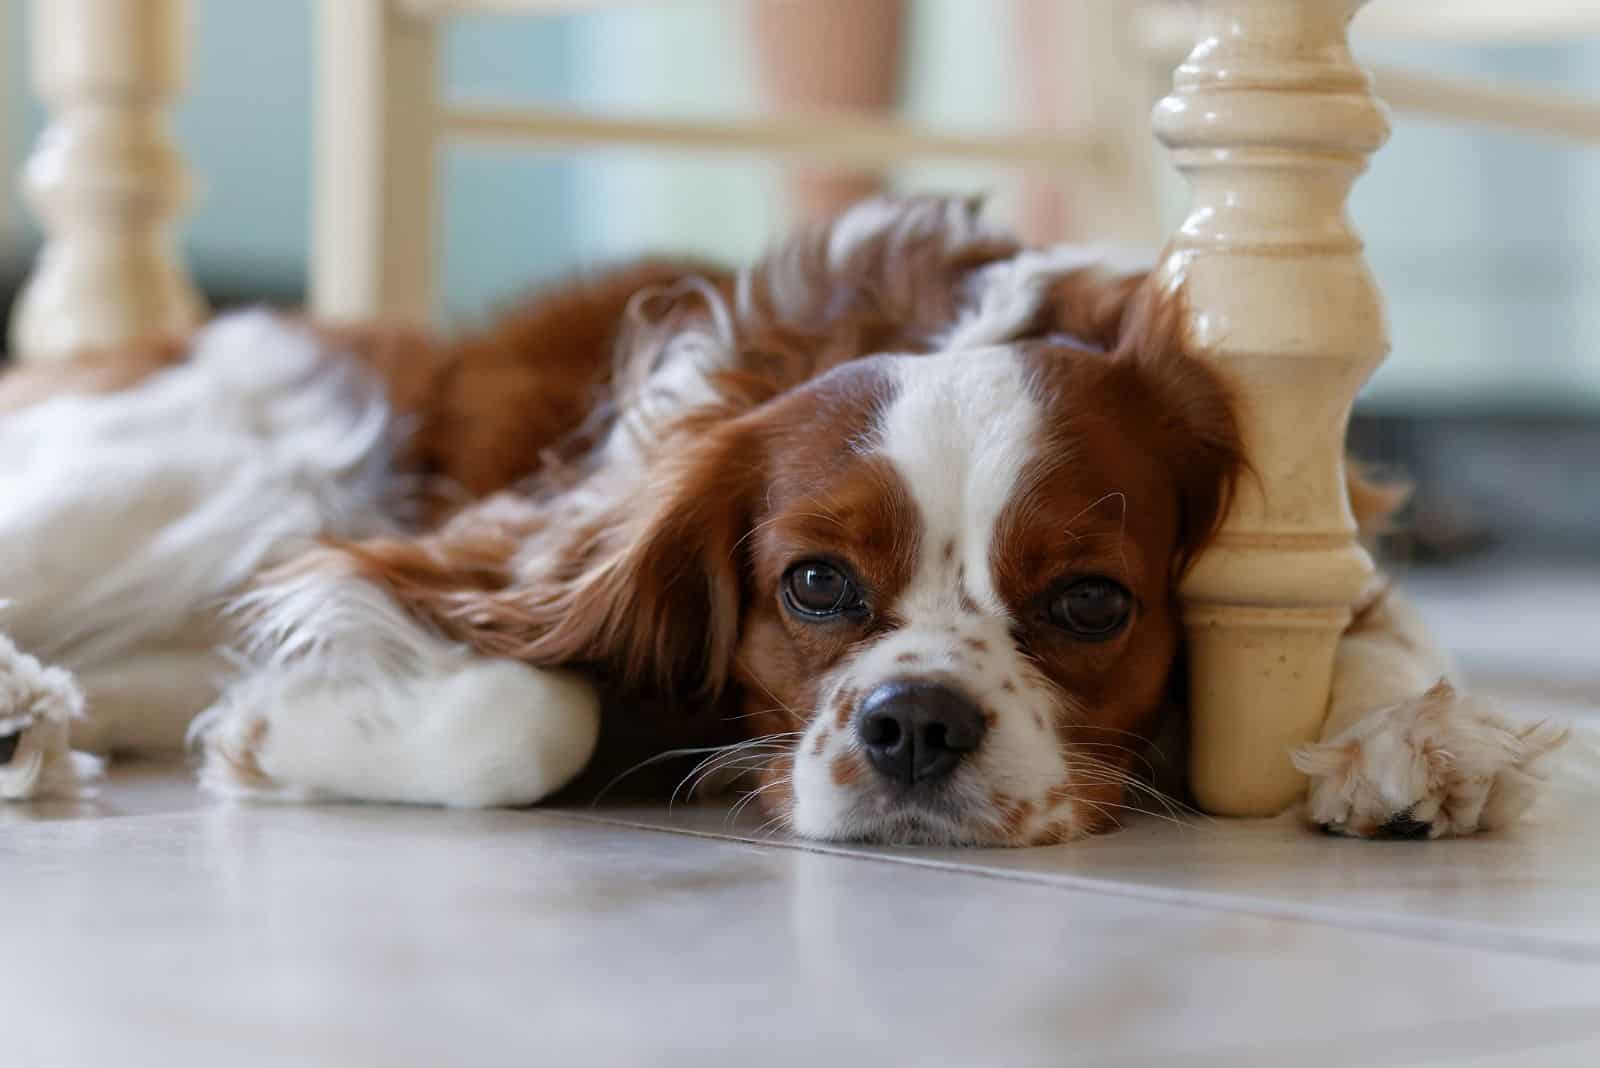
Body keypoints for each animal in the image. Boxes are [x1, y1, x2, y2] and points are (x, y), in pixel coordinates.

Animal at [0, 195, 1574, 837]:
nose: (916, 727)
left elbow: (1378, 631)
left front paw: (1409, 742)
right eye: (816, 584)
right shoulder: (495, 544)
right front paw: (281, 732)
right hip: (222, 478)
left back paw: (43, 724)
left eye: (1090, 602)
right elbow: (524, 714)